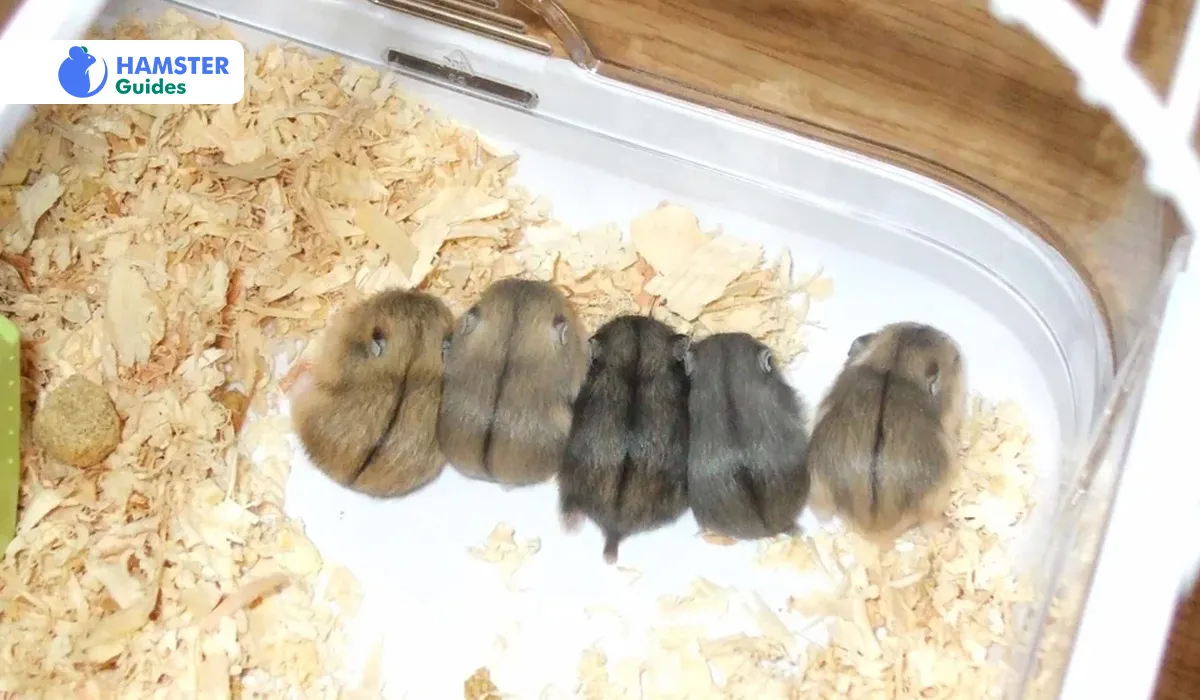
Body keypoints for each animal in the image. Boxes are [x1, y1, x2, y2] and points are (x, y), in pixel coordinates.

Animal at [805, 321, 967, 544]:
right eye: (956, 359)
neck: (896, 362)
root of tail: (874, 526)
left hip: (817, 487)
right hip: (936, 497)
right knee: (930, 524)